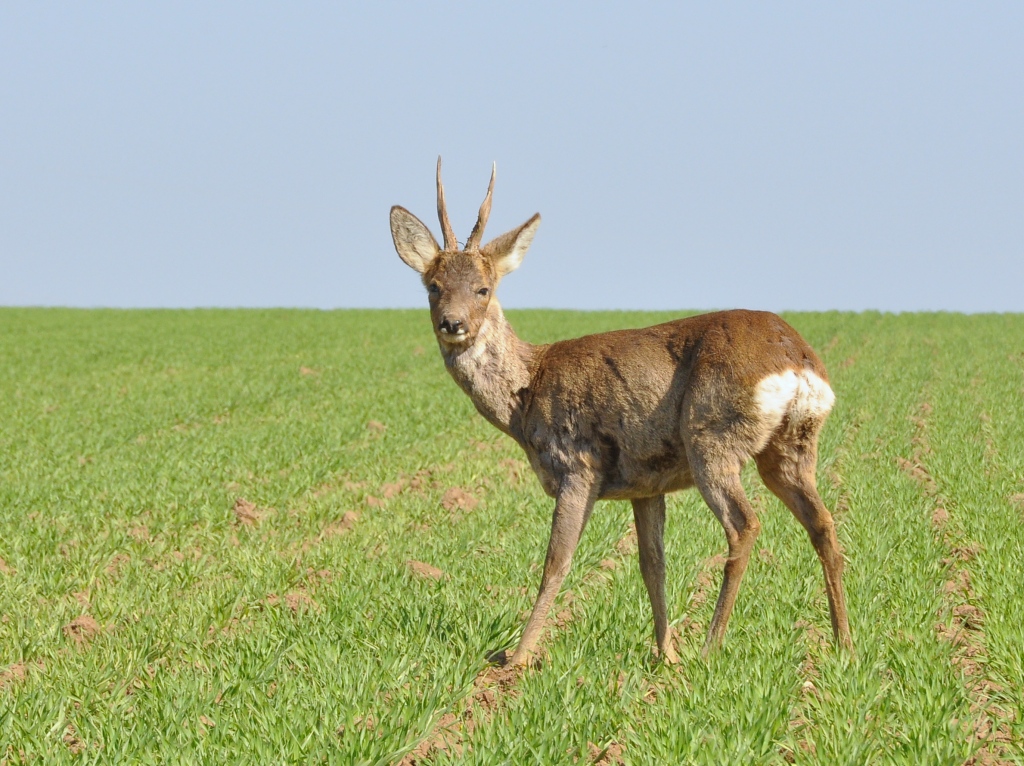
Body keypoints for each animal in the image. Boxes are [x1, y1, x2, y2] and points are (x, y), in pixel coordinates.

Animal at [387, 156, 851, 663]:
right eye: (433, 287)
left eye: (483, 288)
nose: (453, 324)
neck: (527, 392)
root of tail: (799, 362)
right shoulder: (646, 483)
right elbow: (653, 564)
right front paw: (665, 654)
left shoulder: (578, 464)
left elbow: (556, 562)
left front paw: (517, 656)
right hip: (790, 447)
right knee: (824, 523)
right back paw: (843, 644)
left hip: (711, 436)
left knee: (745, 526)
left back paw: (710, 648)